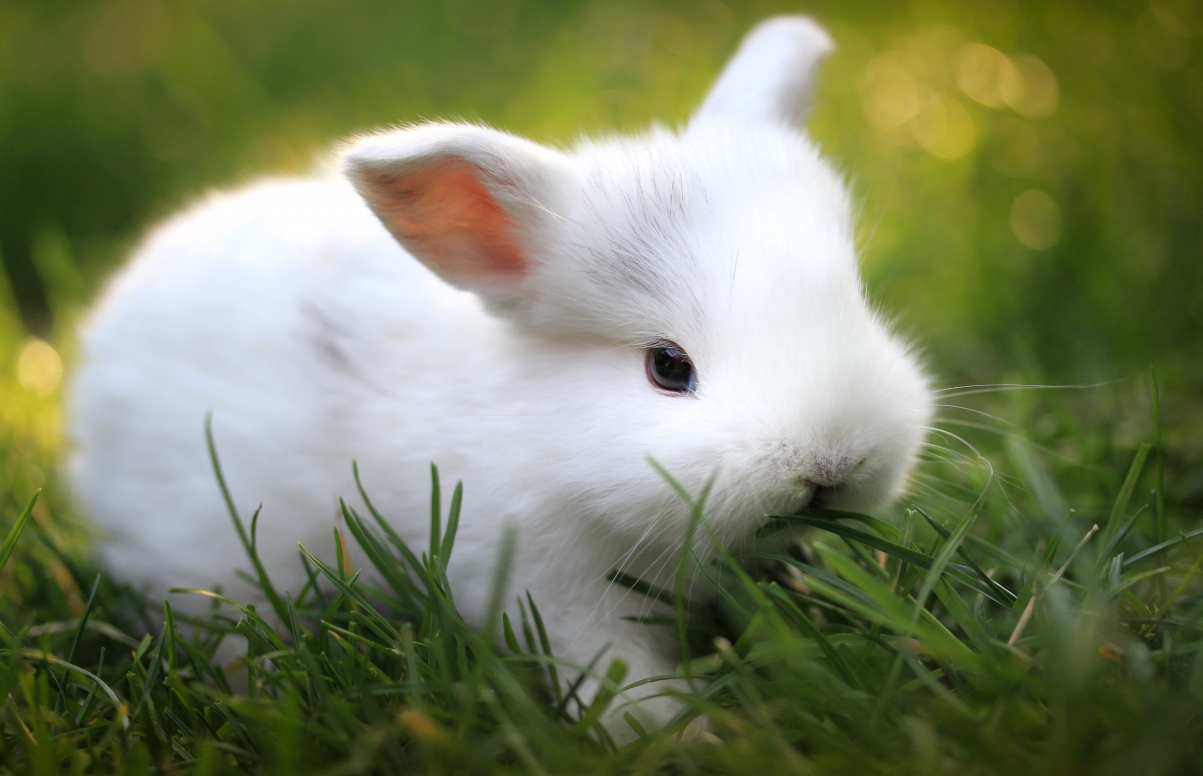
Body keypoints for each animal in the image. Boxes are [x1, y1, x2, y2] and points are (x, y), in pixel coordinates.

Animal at [68, 16, 928, 731]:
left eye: (854, 302)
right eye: (667, 367)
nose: (832, 463)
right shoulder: (547, 589)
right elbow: (612, 672)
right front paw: (676, 734)